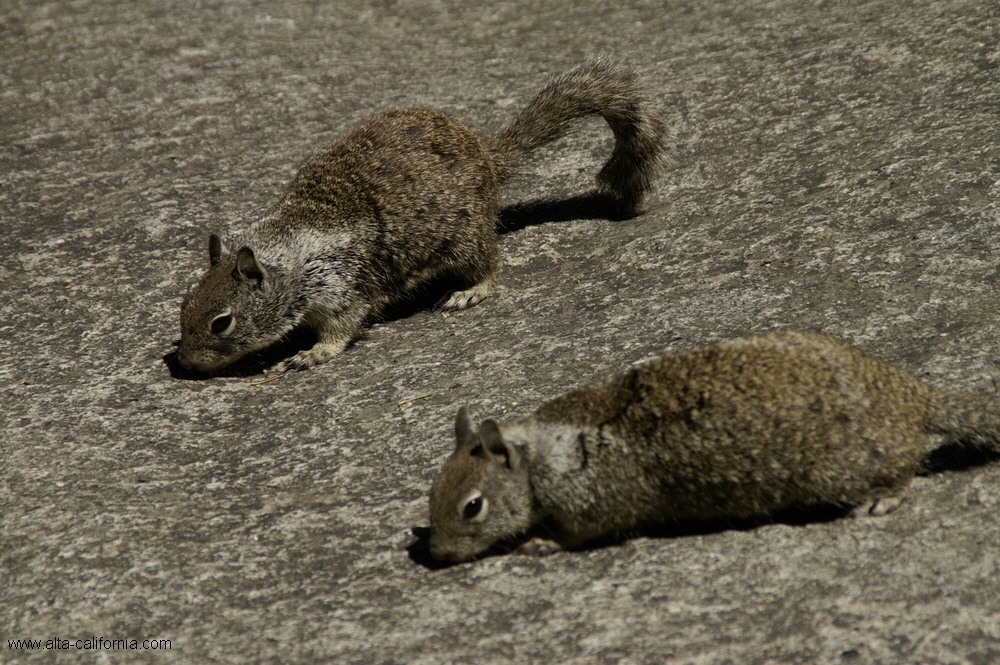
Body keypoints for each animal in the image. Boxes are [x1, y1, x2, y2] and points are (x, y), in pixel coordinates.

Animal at [177, 59, 668, 370]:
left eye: (222, 323)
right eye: (184, 305)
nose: (185, 363)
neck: (289, 255)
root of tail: (487, 158)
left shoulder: (341, 288)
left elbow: (343, 326)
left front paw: (313, 354)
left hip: (465, 239)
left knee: (490, 264)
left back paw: (469, 291)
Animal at [428, 330, 1000, 560]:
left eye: (472, 507)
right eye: (432, 495)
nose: (436, 555)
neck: (536, 457)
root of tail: (913, 394)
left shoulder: (593, 497)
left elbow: (584, 532)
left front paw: (542, 544)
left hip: (841, 468)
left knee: (904, 467)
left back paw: (882, 498)